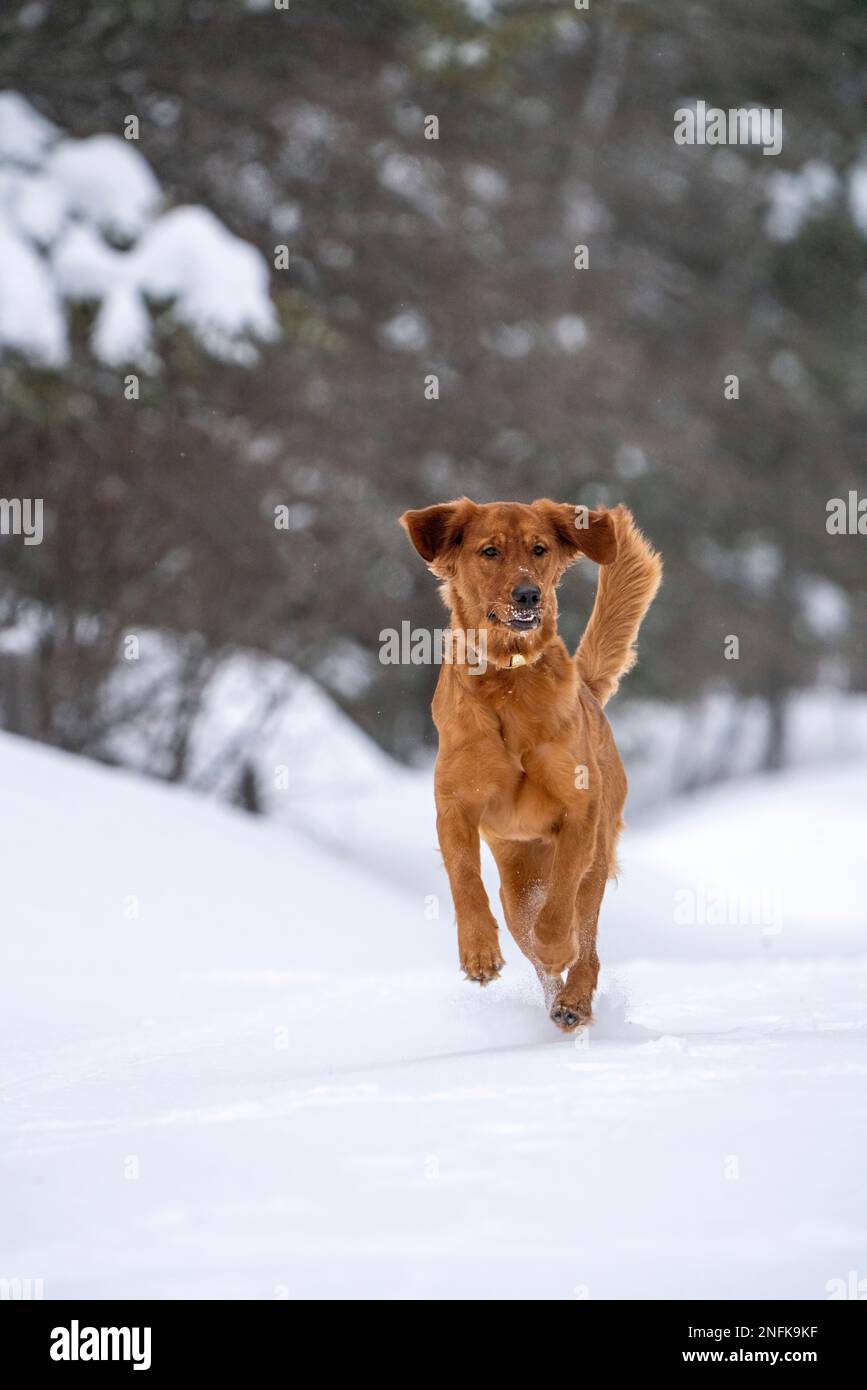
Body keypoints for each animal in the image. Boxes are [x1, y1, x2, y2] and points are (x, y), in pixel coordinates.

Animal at [400, 503, 664, 1034]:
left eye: (540, 549)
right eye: (489, 551)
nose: (528, 594)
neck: (509, 682)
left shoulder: (579, 809)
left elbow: (561, 899)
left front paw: (556, 944)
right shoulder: (454, 806)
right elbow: (464, 878)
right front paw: (479, 952)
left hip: (597, 856)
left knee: (586, 942)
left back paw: (573, 1000)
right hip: (516, 884)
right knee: (532, 938)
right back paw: (555, 997)